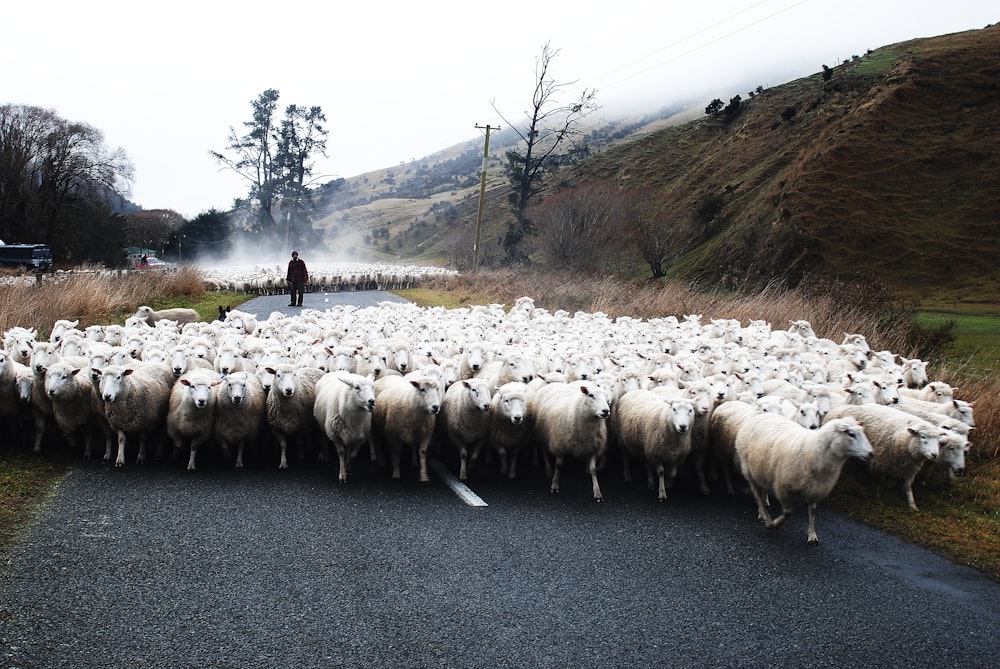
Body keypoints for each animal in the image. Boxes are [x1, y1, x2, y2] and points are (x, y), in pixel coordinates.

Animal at [736, 412, 876, 544]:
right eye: (851, 434)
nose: (871, 454)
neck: (813, 450)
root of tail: (762, 415)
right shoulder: (782, 487)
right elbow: (788, 512)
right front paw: (774, 524)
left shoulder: (816, 490)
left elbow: (812, 513)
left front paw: (812, 536)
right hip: (748, 468)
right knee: (756, 493)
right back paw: (764, 515)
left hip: (762, 470)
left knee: (762, 490)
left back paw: (764, 509)